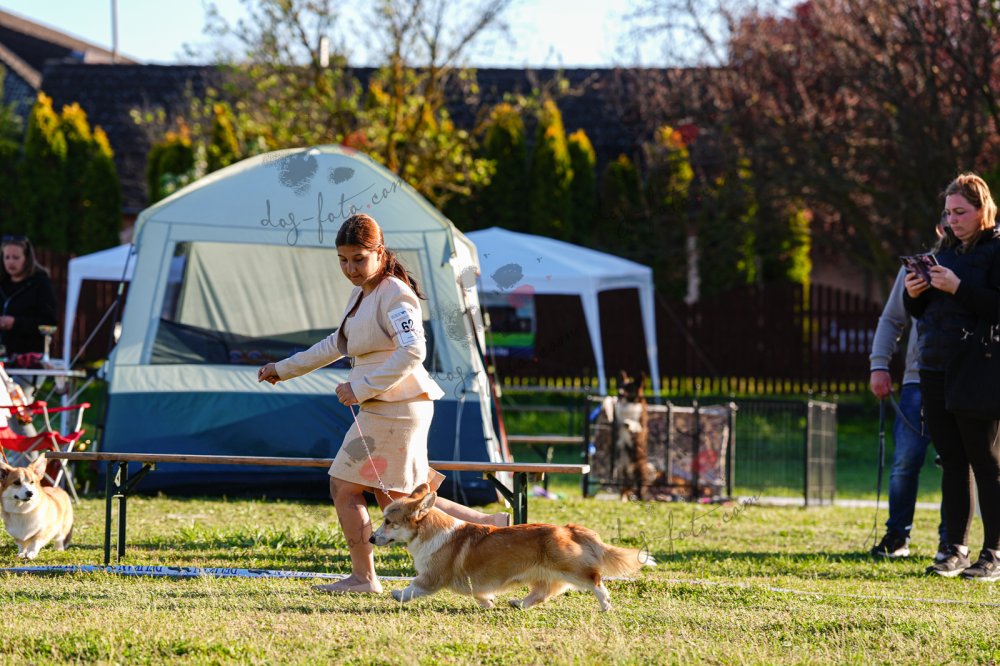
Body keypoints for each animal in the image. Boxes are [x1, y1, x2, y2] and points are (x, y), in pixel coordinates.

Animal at [370, 484, 653, 611]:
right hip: (543, 574)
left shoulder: (432, 577)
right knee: (541, 593)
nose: (371, 539)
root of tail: (568, 528)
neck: (428, 531)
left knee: (595, 581)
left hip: (571, 568)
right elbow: (480, 593)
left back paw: (605, 605)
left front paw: (398, 594)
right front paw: (488, 602)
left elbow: (413, 587)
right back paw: (519, 603)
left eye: (388, 522)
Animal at [615, 370, 651, 500]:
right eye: (620, 386)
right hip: (620, 471)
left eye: (629, 388)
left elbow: (634, 424)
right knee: (624, 488)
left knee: (641, 488)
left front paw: (628, 422)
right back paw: (623, 499)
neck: (628, 404)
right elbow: (619, 421)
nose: (619, 393)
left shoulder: (640, 429)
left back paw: (642, 498)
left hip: (640, 470)